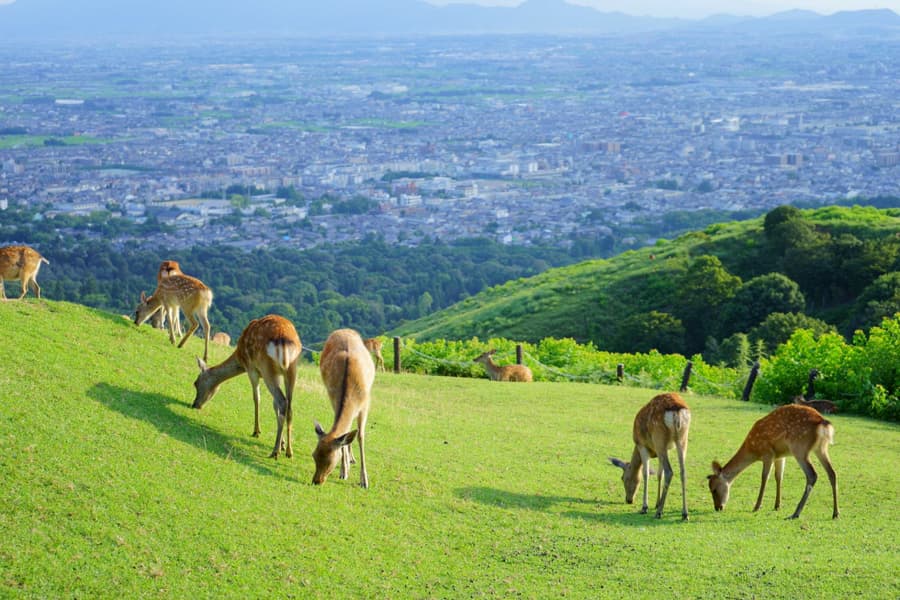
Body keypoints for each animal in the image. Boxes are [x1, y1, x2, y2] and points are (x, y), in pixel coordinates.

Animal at [191, 314, 300, 460]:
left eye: (196, 383)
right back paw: (289, 451)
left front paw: (257, 431)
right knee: (289, 405)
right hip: (292, 370)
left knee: (283, 402)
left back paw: (275, 451)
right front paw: (282, 444)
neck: (240, 358)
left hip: (267, 369)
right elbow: (274, 405)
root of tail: (284, 341)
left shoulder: (251, 369)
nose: (194, 404)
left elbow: (256, 398)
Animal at [314, 328, 374, 488]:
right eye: (314, 455)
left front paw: (364, 481)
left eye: (330, 461)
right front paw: (343, 471)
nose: (316, 481)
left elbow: (360, 436)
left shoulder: (365, 404)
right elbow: (345, 434)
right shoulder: (333, 398)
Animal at [708, 404, 840, 520]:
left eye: (713, 489)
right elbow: (779, 477)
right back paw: (835, 513)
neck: (753, 450)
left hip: (799, 448)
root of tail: (823, 424)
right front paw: (777, 505)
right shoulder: (780, 456)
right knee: (832, 473)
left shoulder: (768, 453)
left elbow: (764, 477)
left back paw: (795, 514)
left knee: (812, 475)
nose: (718, 507)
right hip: (821, 448)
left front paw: (756, 507)